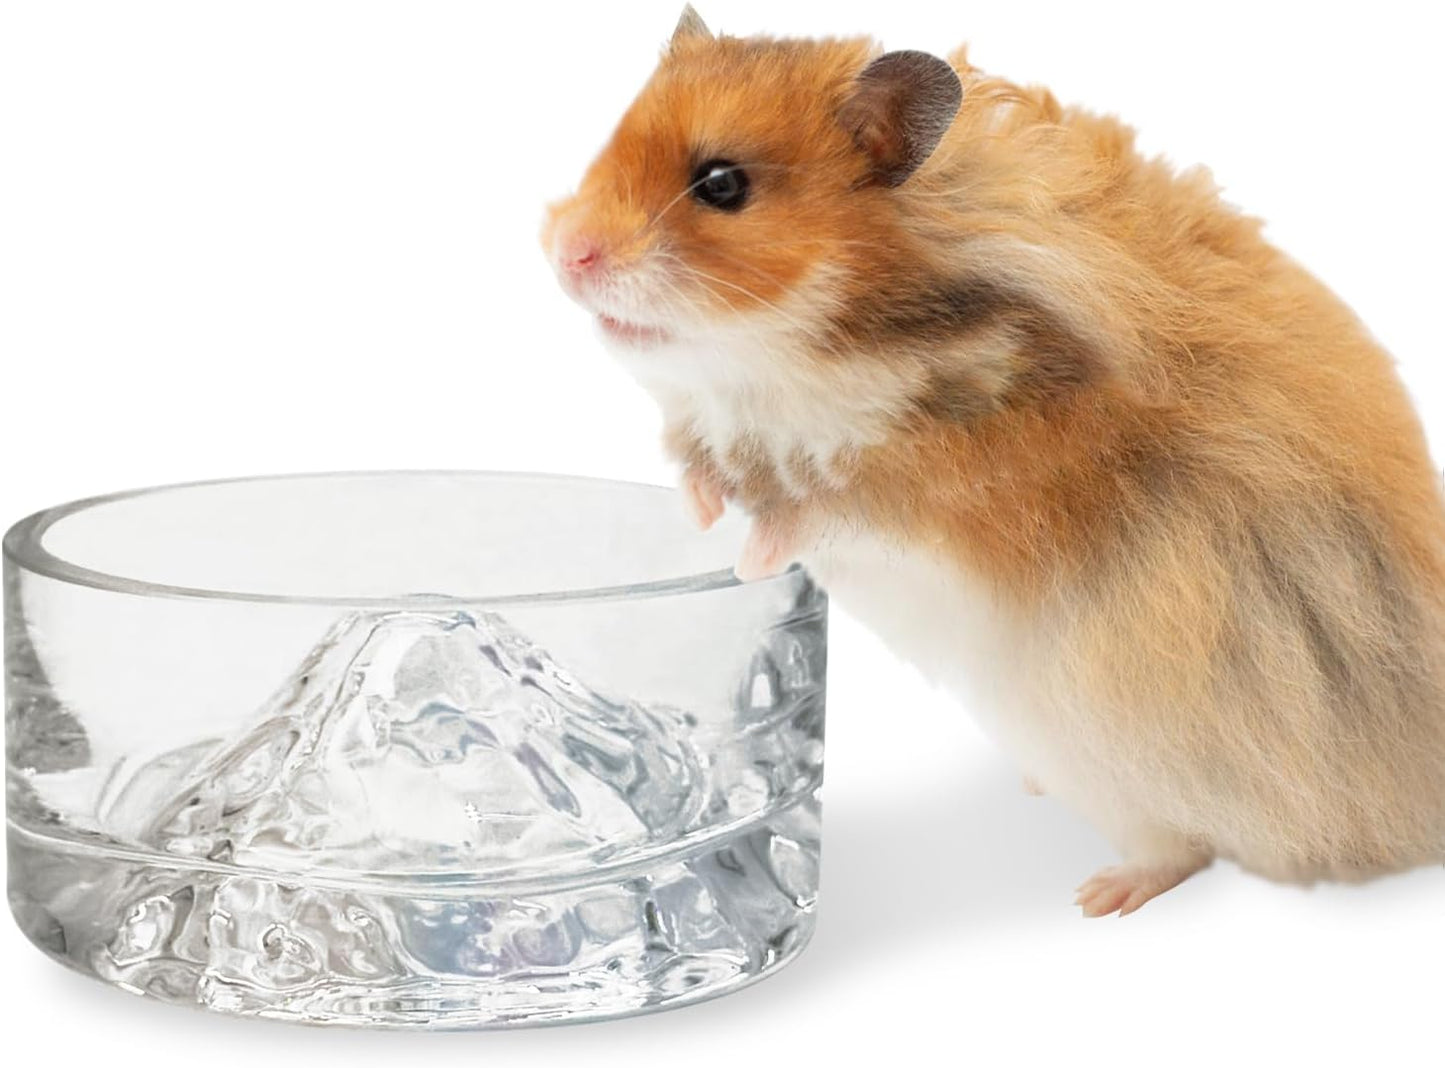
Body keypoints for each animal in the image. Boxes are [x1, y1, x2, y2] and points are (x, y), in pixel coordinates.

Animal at [542, 6, 1445, 916]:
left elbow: (830, 507)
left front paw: (750, 557)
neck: (803, 353)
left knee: (1179, 844)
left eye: (722, 185)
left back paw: (1100, 897)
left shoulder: (964, 490)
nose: (566, 253)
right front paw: (698, 512)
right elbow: (707, 469)